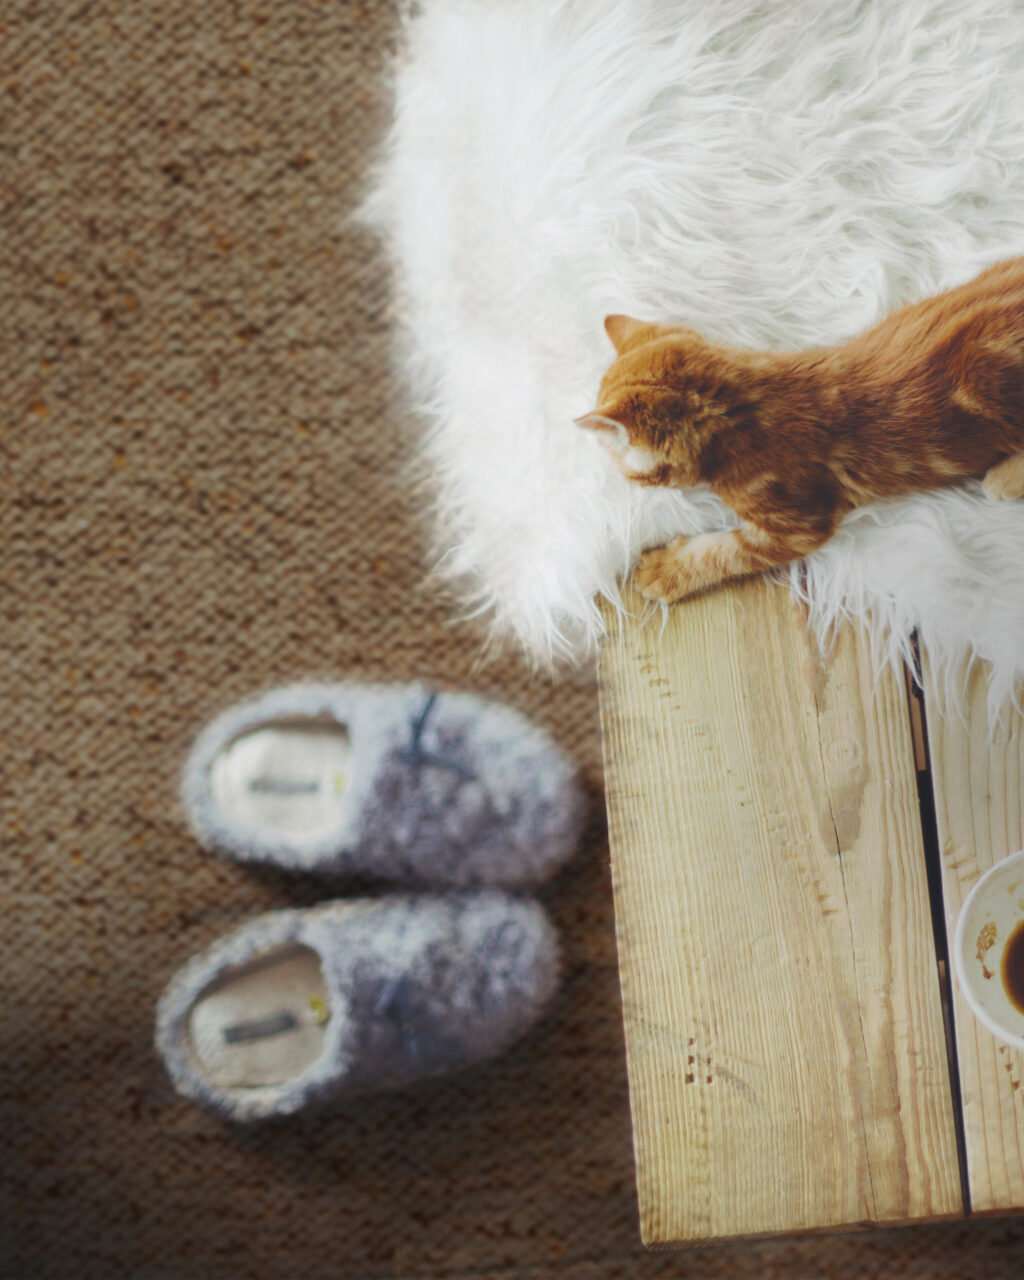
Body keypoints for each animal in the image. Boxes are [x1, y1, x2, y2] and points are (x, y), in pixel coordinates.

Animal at [577, 257, 1024, 604]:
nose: (625, 480)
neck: (742, 404)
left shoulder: (799, 522)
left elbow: (726, 551)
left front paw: (665, 570)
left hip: (989, 379)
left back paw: (1004, 478)